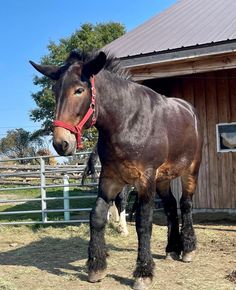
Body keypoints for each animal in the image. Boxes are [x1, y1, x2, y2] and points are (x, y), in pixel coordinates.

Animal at [29, 50, 203, 290]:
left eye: (79, 90)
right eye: (55, 91)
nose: (61, 143)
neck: (127, 122)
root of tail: (190, 111)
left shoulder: (145, 180)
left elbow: (143, 223)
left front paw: (143, 272)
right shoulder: (110, 179)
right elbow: (97, 217)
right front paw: (96, 266)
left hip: (190, 171)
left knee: (185, 204)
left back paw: (188, 248)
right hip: (163, 179)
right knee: (170, 206)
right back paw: (171, 248)